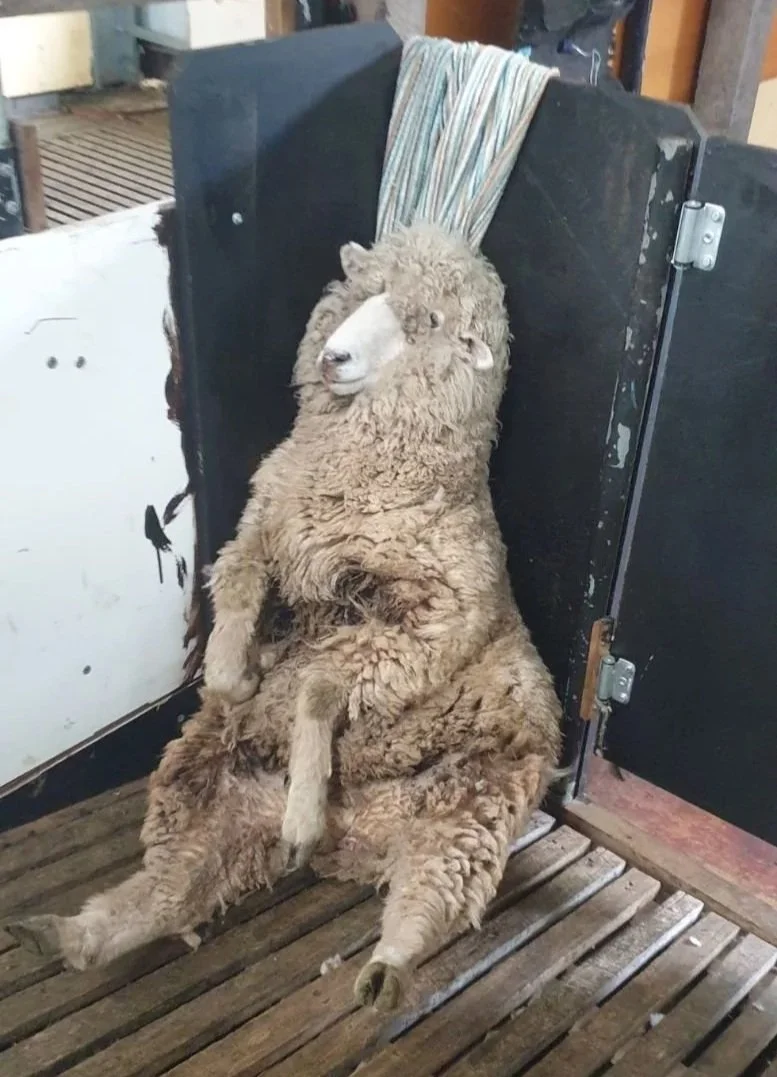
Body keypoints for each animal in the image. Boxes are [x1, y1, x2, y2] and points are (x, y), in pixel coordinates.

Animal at [5, 224, 562, 1013]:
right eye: (363, 292)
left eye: (427, 322)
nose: (334, 357)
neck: (364, 473)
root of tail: (359, 839)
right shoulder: (266, 523)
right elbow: (235, 585)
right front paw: (231, 673)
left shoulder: (431, 621)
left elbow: (319, 686)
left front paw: (305, 791)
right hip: (213, 794)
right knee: (174, 889)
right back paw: (66, 936)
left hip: (471, 807)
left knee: (428, 897)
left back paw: (380, 959)